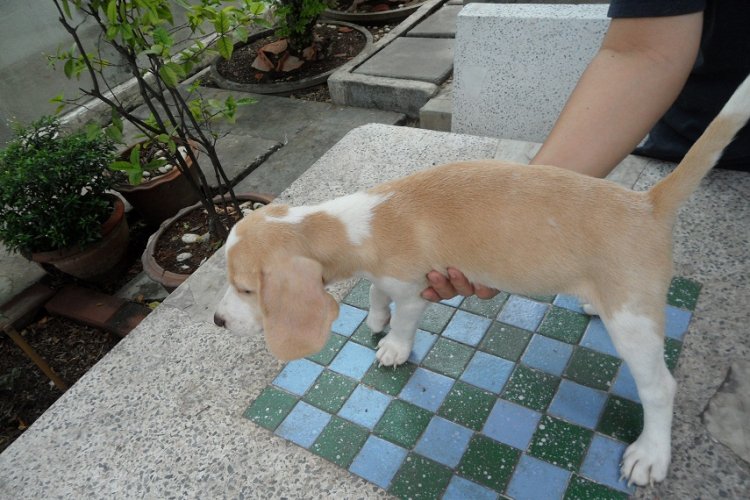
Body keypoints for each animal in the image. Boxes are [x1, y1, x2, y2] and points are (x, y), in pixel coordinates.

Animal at [214, 73, 750, 486]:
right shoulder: (383, 273)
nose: (217, 321)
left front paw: (393, 346)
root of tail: (648, 203)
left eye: (247, 289)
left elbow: (403, 320)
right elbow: (376, 291)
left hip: (634, 325)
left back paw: (651, 452)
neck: (355, 220)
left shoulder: (415, 288)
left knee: (661, 388)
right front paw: (375, 315)